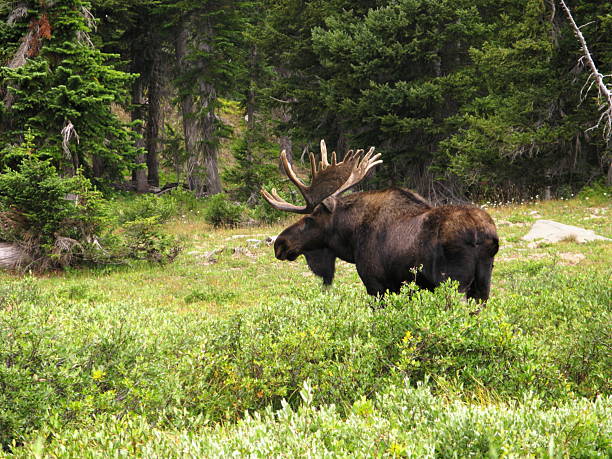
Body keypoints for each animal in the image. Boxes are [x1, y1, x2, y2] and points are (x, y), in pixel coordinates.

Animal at [260, 141, 500, 302]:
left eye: (310, 218)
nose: (280, 243)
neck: (351, 239)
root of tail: (482, 235)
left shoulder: (376, 284)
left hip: (453, 284)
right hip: (482, 285)